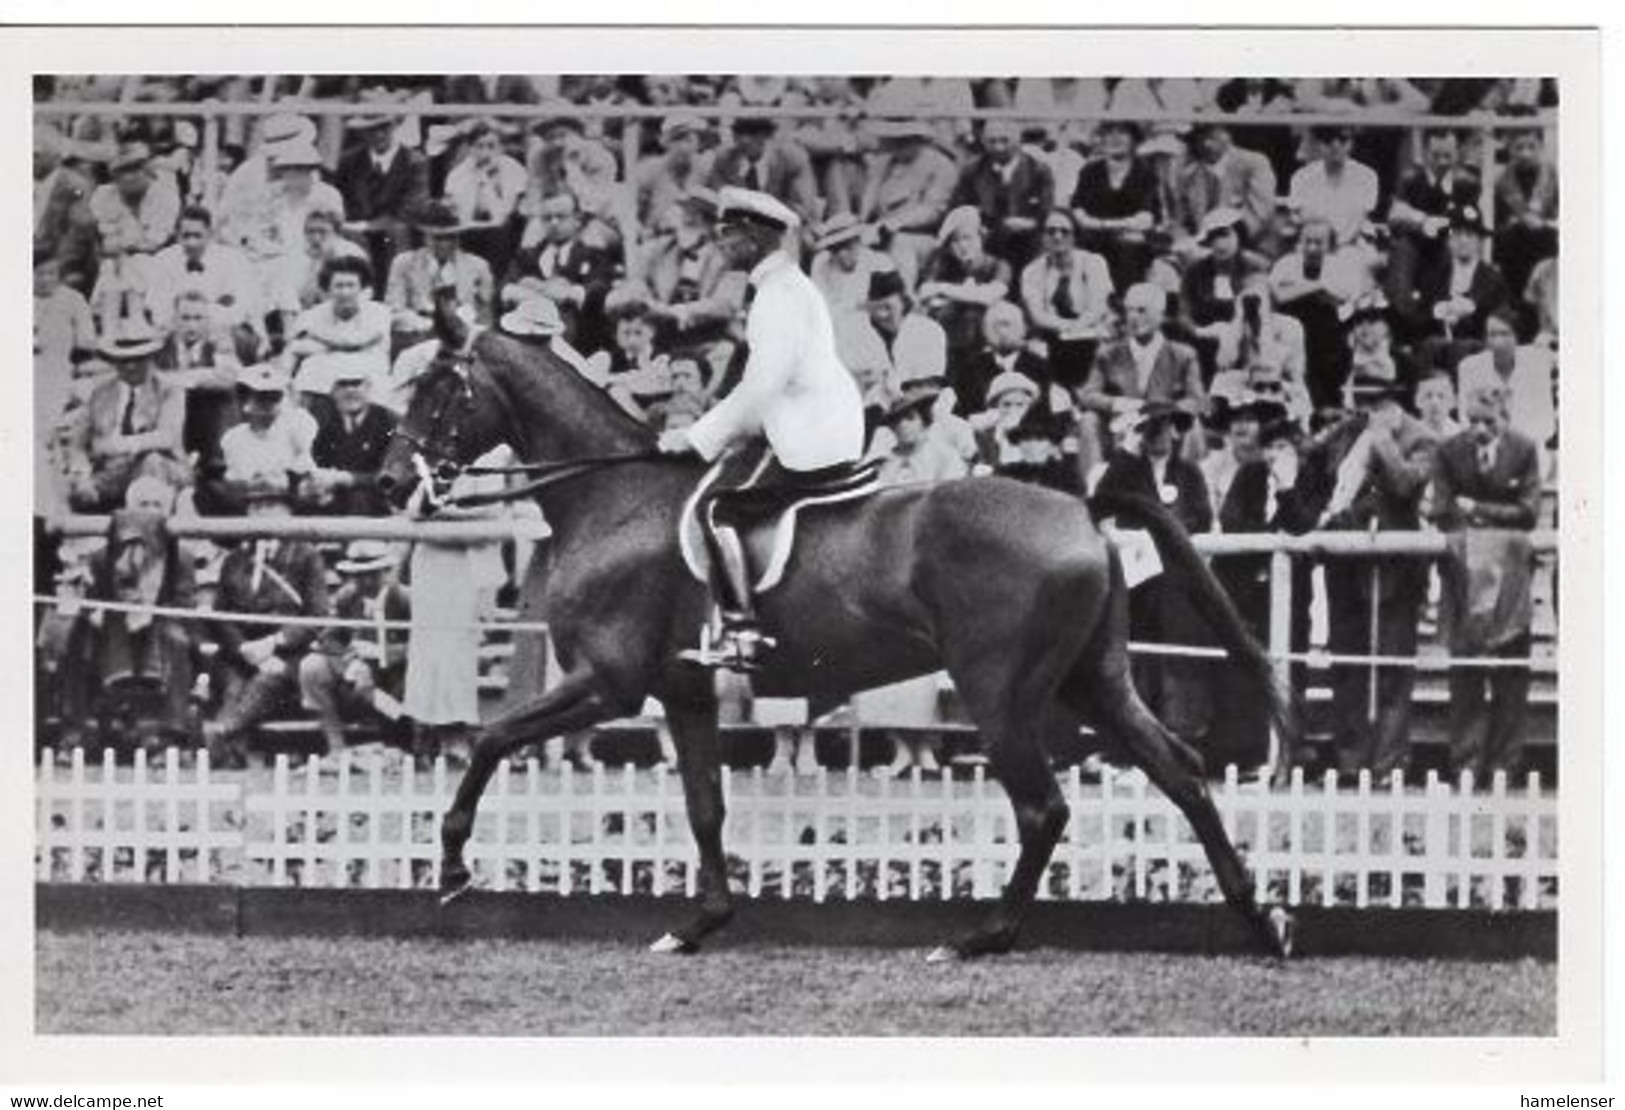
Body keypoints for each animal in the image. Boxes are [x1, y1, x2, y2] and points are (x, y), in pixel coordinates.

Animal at [377, 315, 1293, 962]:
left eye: (438, 389)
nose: (387, 481)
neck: (616, 500)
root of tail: (1080, 504)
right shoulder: (681, 690)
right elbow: (704, 805)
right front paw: (700, 923)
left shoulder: (610, 681)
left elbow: (491, 737)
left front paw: (452, 868)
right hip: (1091, 681)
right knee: (1180, 772)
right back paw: (1259, 918)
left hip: (1000, 693)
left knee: (1044, 807)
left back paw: (980, 938)